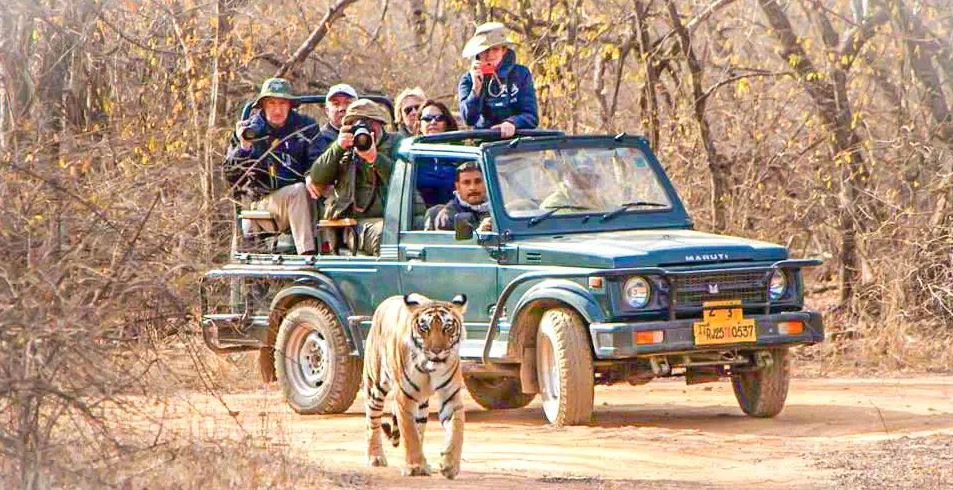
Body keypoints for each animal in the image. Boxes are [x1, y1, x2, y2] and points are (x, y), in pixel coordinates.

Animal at [363, 293, 468, 479]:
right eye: (424, 328)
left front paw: (450, 465)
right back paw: (375, 457)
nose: (436, 351)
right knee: (372, 420)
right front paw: (415, 466)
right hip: (375, 385)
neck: (430, 367)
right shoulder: (404, 397)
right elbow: (409, 433)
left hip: (422, 404)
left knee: (420, 428)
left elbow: (456, 431)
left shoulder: (451, 396)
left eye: (447, 327)